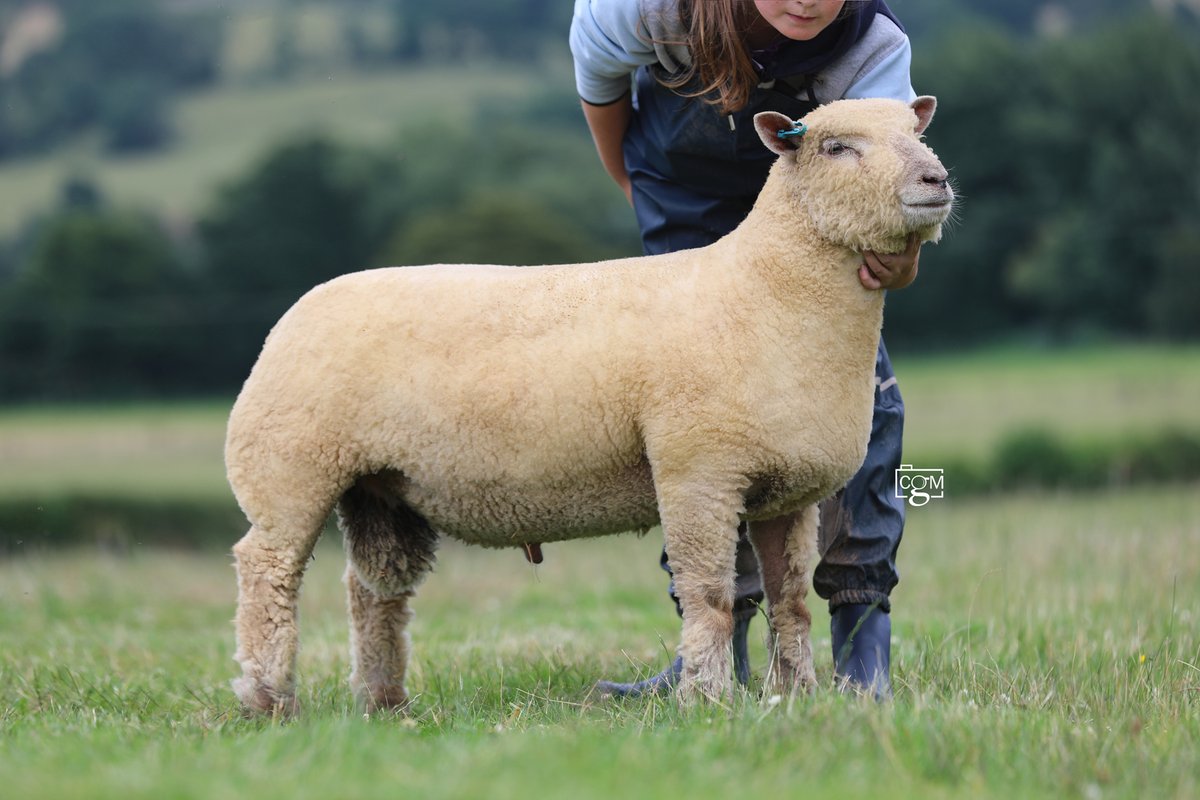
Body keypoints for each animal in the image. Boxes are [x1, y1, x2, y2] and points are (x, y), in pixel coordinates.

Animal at [226, 96, 954, 715]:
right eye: (835, 147)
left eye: (915, 133)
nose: (937, 179)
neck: (764, 291)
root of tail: (295, 311)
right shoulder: (698, 471)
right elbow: (711, 597)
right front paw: (707, 700)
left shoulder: (790, 491)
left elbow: (792, 601)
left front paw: (798, 697)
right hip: (290, 467)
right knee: (267, 575)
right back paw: (269, 701)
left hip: (380, 487)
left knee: (374, 593)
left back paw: (384, 702)